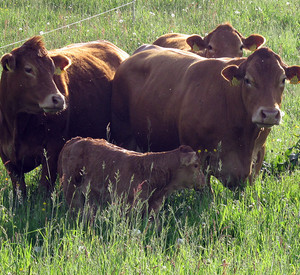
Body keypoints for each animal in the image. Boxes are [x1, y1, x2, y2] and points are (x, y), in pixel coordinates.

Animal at [0, 36, 129, 201]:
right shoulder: (7, 157)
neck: (18, 123)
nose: (58, 99)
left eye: (52, 71)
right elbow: (19, 191)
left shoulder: (53, 149)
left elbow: (44, 188)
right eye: (28, 69)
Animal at [57, 137, 205, 213]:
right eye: (196, 165)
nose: (203, 182)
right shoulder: (131, 203)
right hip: (71, 188)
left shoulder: (154, 205)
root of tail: (75, 140)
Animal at [110, 46, 300, 191]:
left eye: (283, 79)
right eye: (247, 80)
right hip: (124, 134)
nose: (269, 114)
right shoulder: (198, 154)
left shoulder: (258, 153)